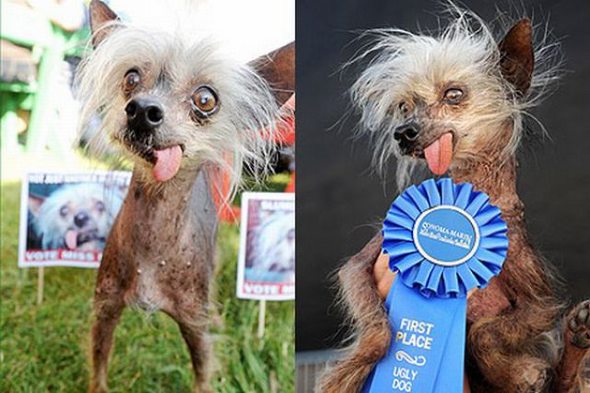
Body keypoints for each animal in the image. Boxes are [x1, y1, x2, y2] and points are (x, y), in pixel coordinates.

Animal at [75, 1, 294, 390]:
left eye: (205, 99)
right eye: (131, 78)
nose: (142, 110)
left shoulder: (195, 330)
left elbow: (203, 376)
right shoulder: (105, 310)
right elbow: (99, 369)